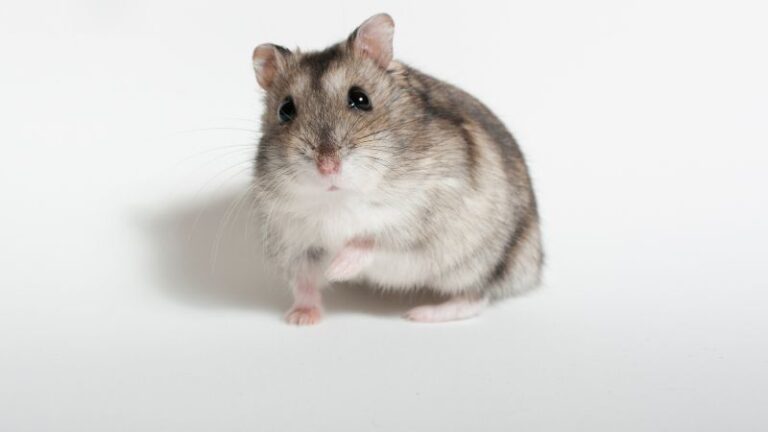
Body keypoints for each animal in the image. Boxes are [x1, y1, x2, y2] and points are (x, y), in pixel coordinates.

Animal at [251, 13, 542, 325]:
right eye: (285, 110)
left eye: (361, 98)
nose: (327, 167)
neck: (339, 197)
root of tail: (534, 268)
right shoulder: (294, 242)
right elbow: (304, 283)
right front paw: (299, 319)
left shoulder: (419, 215)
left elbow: (369, 240)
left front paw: (337, 269)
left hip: (476, 262)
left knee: (475, 297)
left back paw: (419, 314)